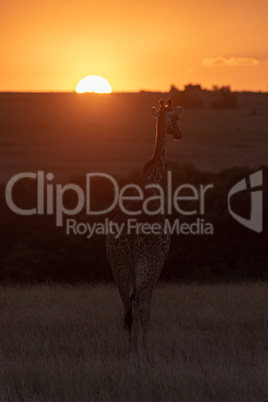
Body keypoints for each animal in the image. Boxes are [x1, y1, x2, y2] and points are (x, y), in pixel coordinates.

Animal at [105, 98, 183, 352]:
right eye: (176, 118)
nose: (179, 134)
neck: (150, 183)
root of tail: (129, 240)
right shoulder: (159, 261)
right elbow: (147, 305)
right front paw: (146, 348)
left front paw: (136, 346)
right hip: (146, 264)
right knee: (140, 302)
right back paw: (142, 349)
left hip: (119, 265)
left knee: (126, 303)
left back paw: (130, 349)